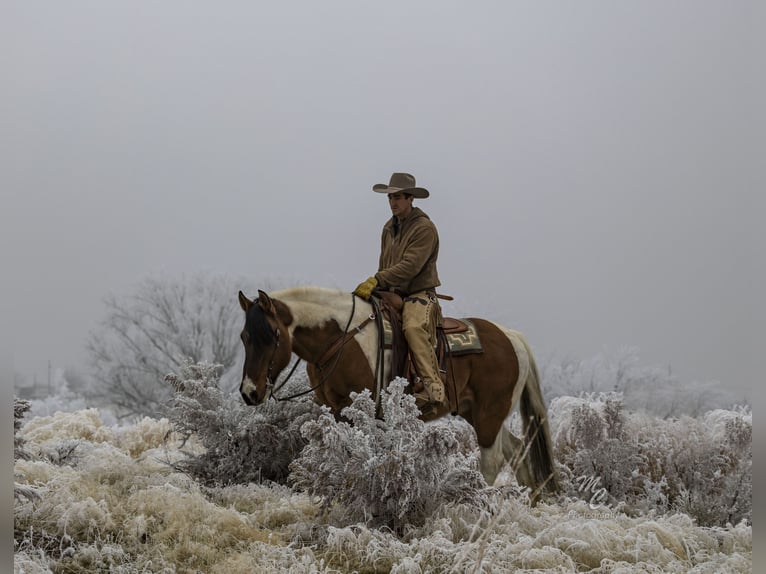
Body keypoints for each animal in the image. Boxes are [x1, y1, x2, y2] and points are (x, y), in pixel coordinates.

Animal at [238, 288, 560, 500]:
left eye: (273, 335)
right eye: (244, 337)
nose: (250, 392)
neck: (340, 338)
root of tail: (511, 336)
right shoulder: (335, 411)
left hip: (489, 415)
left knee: (492, 462)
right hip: (481, 414)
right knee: (518, 451)